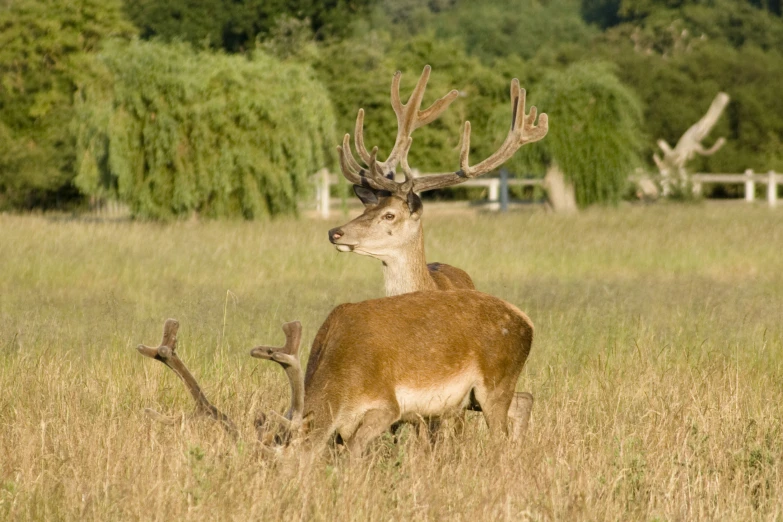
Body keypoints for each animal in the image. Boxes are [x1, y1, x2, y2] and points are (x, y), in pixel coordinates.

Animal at [254, 288, 536, 456]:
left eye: (283, 459)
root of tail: (529, 324)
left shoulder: (387, 405)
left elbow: (355, 449)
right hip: (476, 397)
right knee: (525, 399)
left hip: (495, 384)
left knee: (500, 435)